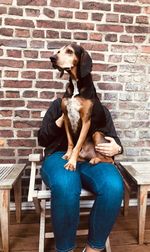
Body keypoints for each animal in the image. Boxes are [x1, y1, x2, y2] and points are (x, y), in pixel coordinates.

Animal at [49, 43, 113, 171]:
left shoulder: (86, 121)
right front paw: (68, 155)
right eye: (58, 51)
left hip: (97, 134)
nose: (52, 58)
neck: (75, 84)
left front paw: (71, 163)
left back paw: (95, 160)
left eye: (69, 51)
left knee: (110, 160)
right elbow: (71, 142)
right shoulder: (66, 118)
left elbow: (77, 145)